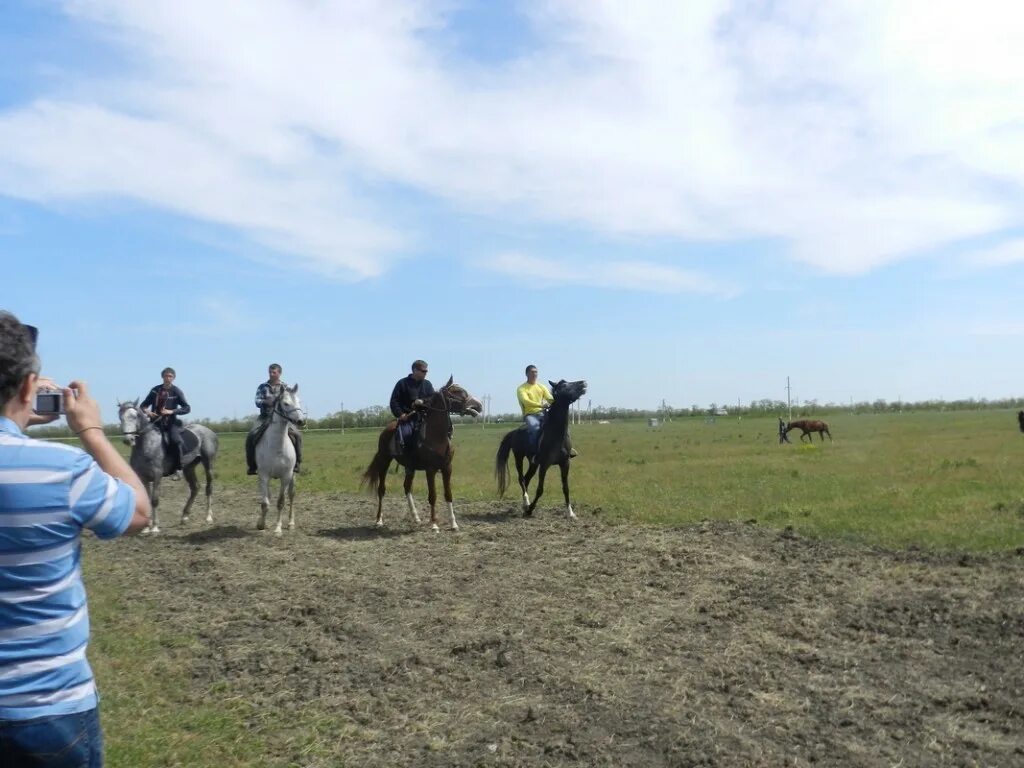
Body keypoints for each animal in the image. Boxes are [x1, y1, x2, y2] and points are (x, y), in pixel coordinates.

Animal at [117, 403, 219, 536]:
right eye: (120, 417)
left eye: (135, 416)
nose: (128, 440)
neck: (147, 445)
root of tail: (210, 432)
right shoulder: (143, 477)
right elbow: (147, 500)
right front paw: (146, 528)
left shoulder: (157, 475)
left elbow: (154, 500)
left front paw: (155, 527)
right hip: (189, 468)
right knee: (195, 488)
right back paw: (184, 516)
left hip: (208, 463)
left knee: (209, 488)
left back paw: (208, 517)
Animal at [254, 382, 305, 536]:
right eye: (286, 403)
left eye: (299, 401)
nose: (301, 421)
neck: (277, 446)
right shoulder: (263, 475)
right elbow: (265, 503)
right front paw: (261, 524)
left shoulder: (286, 476)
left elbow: (281, 502)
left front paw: (277, 529)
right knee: (268, 497)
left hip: (293, 476)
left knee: (291, 496)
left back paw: (291, 523)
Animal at [362, 378, 481, 536]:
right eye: (456, 392)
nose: (479, 405)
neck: (436, 436)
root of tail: (386, 430)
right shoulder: (430, 470)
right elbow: (433, 496)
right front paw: (434, 525)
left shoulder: (447, 468)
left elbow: (448, 494)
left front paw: (454, 524)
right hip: (384, 461)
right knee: (381, 490)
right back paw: (379, 520)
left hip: (409, 467)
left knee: (407, 487)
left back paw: (416, 517)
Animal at [493, 380, 585, 520]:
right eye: (563, 386)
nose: (583, 383)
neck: (556, 435)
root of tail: (515, 432)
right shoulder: (544, 465)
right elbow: (540, 489)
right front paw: (530, 510)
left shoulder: (565, 463)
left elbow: (566, 488)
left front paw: (571, 513)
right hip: (519, 458)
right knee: (521, 479)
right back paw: (526, 503)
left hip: (533, 464)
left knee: (526, 478)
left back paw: (525, 505)